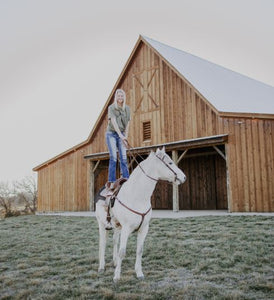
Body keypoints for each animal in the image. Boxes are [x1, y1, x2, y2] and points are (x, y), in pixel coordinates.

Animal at [94, 148, 186, 282]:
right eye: (170, 162)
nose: (183, 177)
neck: (136, 195)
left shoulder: (143, 228)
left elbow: (139, 251)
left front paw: (139, 273)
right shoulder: (126, 229)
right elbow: (122, 251)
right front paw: (116, 277)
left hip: (117, 227)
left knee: (115, 241)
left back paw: (115, 262)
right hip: (102, 224)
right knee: (103, 243)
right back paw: (101, 267)